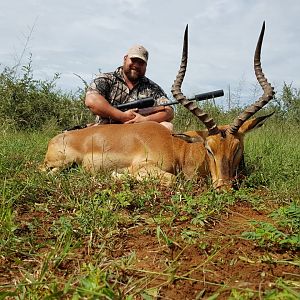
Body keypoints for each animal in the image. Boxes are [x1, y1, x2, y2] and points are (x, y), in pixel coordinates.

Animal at [41, 22, 274, 190]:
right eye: (209, 148)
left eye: (237, 148)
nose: (223, 187)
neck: (178, 148)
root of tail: (57, 138)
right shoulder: (145, 168)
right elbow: (172, 180)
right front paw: (116, 175)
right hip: (61, 162)